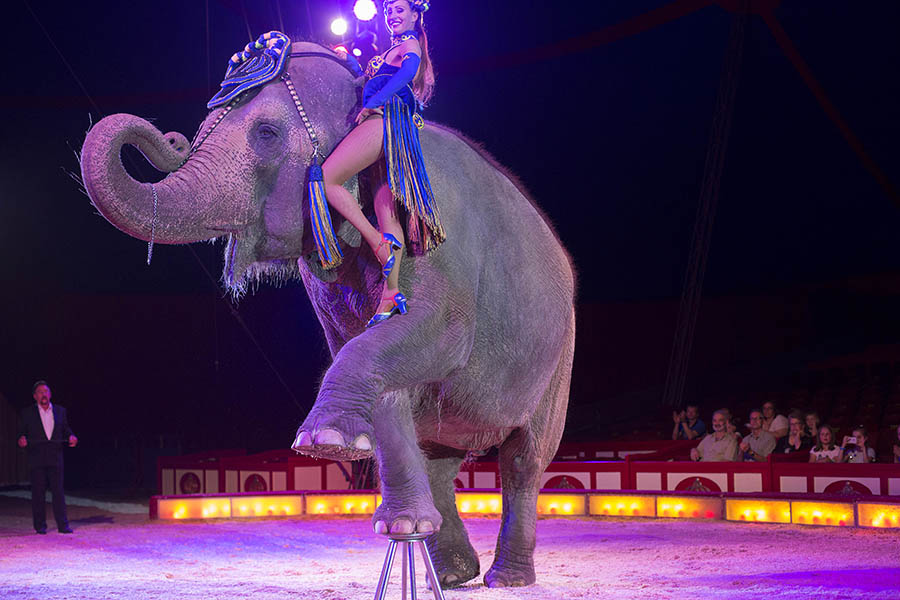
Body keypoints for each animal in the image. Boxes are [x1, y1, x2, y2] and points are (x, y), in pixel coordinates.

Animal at [82, 39, 576, 588]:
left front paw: (325, 443)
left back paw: (506, 578)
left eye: (267, 133)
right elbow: (365, 351)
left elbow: (436, 334)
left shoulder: (437, 228)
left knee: (524, 461)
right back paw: (448, 572)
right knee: (441, 456)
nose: (170, 137)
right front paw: (391, 510)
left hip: (560, 356)